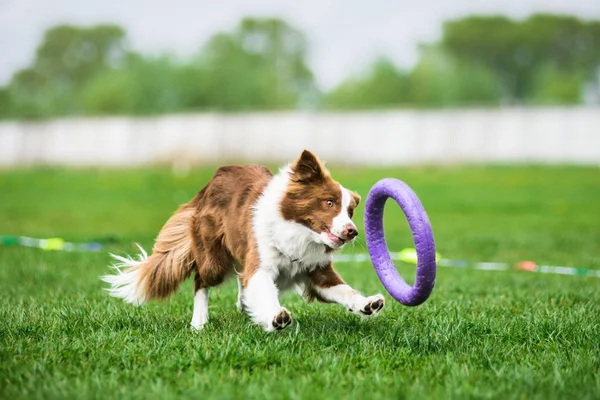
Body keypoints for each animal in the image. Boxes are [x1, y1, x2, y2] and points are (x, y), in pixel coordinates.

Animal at [101, 150, 384, 332]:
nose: (352, 231)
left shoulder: (316, 270)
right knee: (200, 279)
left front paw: (368, 303)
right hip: (213, 258)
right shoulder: (261, 264)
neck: (298, 232)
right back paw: (199, 322)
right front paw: (275, 317)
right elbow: (264, 290)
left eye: (350, 211)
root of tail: (209, 184)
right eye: (329, 202)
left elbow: (344, 290)